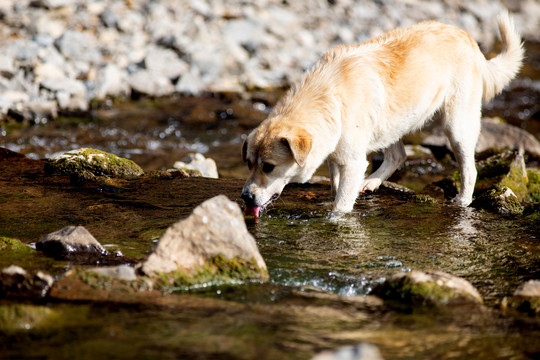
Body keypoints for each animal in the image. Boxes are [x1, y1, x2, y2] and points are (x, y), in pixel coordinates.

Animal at [240, 11, 524, 217]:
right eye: (249, 164)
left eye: (269, 166)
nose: (245, 196)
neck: (327, 97)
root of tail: (469, 38)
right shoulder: (336, 154)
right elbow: (335, 185)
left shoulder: (353, 161)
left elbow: (341, 206)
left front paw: (335, 219)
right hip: (390, 123)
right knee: (399, 155)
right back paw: (371, 182)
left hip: (456, 126)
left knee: (469, 169)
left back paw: (462, 201)